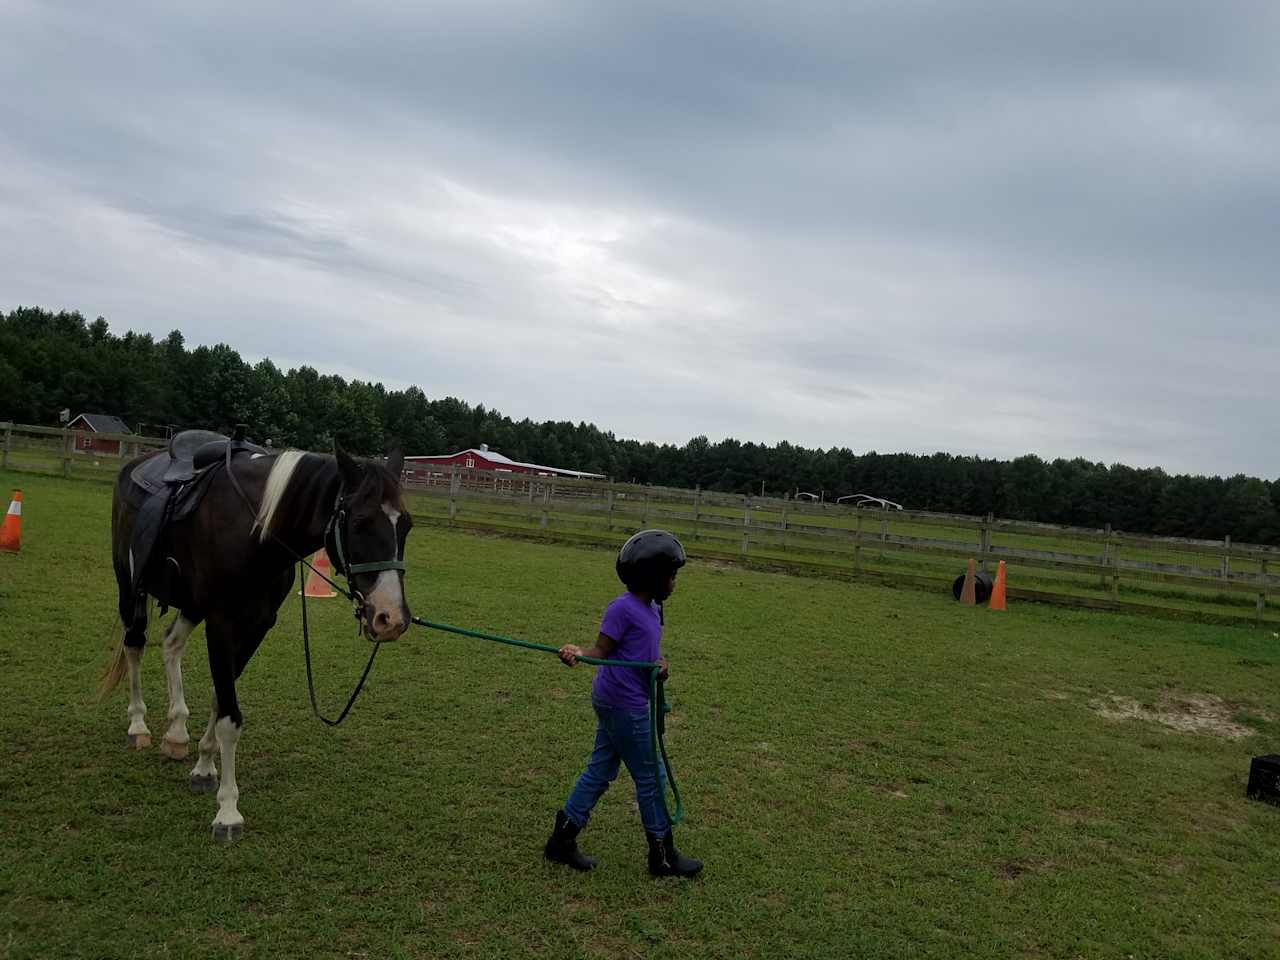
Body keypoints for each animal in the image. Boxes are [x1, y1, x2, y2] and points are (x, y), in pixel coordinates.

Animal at [101, 437, 409, 839]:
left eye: (406, 526)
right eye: (359, 522)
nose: (391, 618)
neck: (256, 533)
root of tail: (136, 464)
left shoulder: (258, 625)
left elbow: (221, 698)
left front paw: (204, 767)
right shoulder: (221, 623)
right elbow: (229, 718)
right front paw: (228, 811)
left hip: (190, 605)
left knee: (171, 644)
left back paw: (177, 732)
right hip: (130, 587)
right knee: (134, 645)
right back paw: (138, 725)